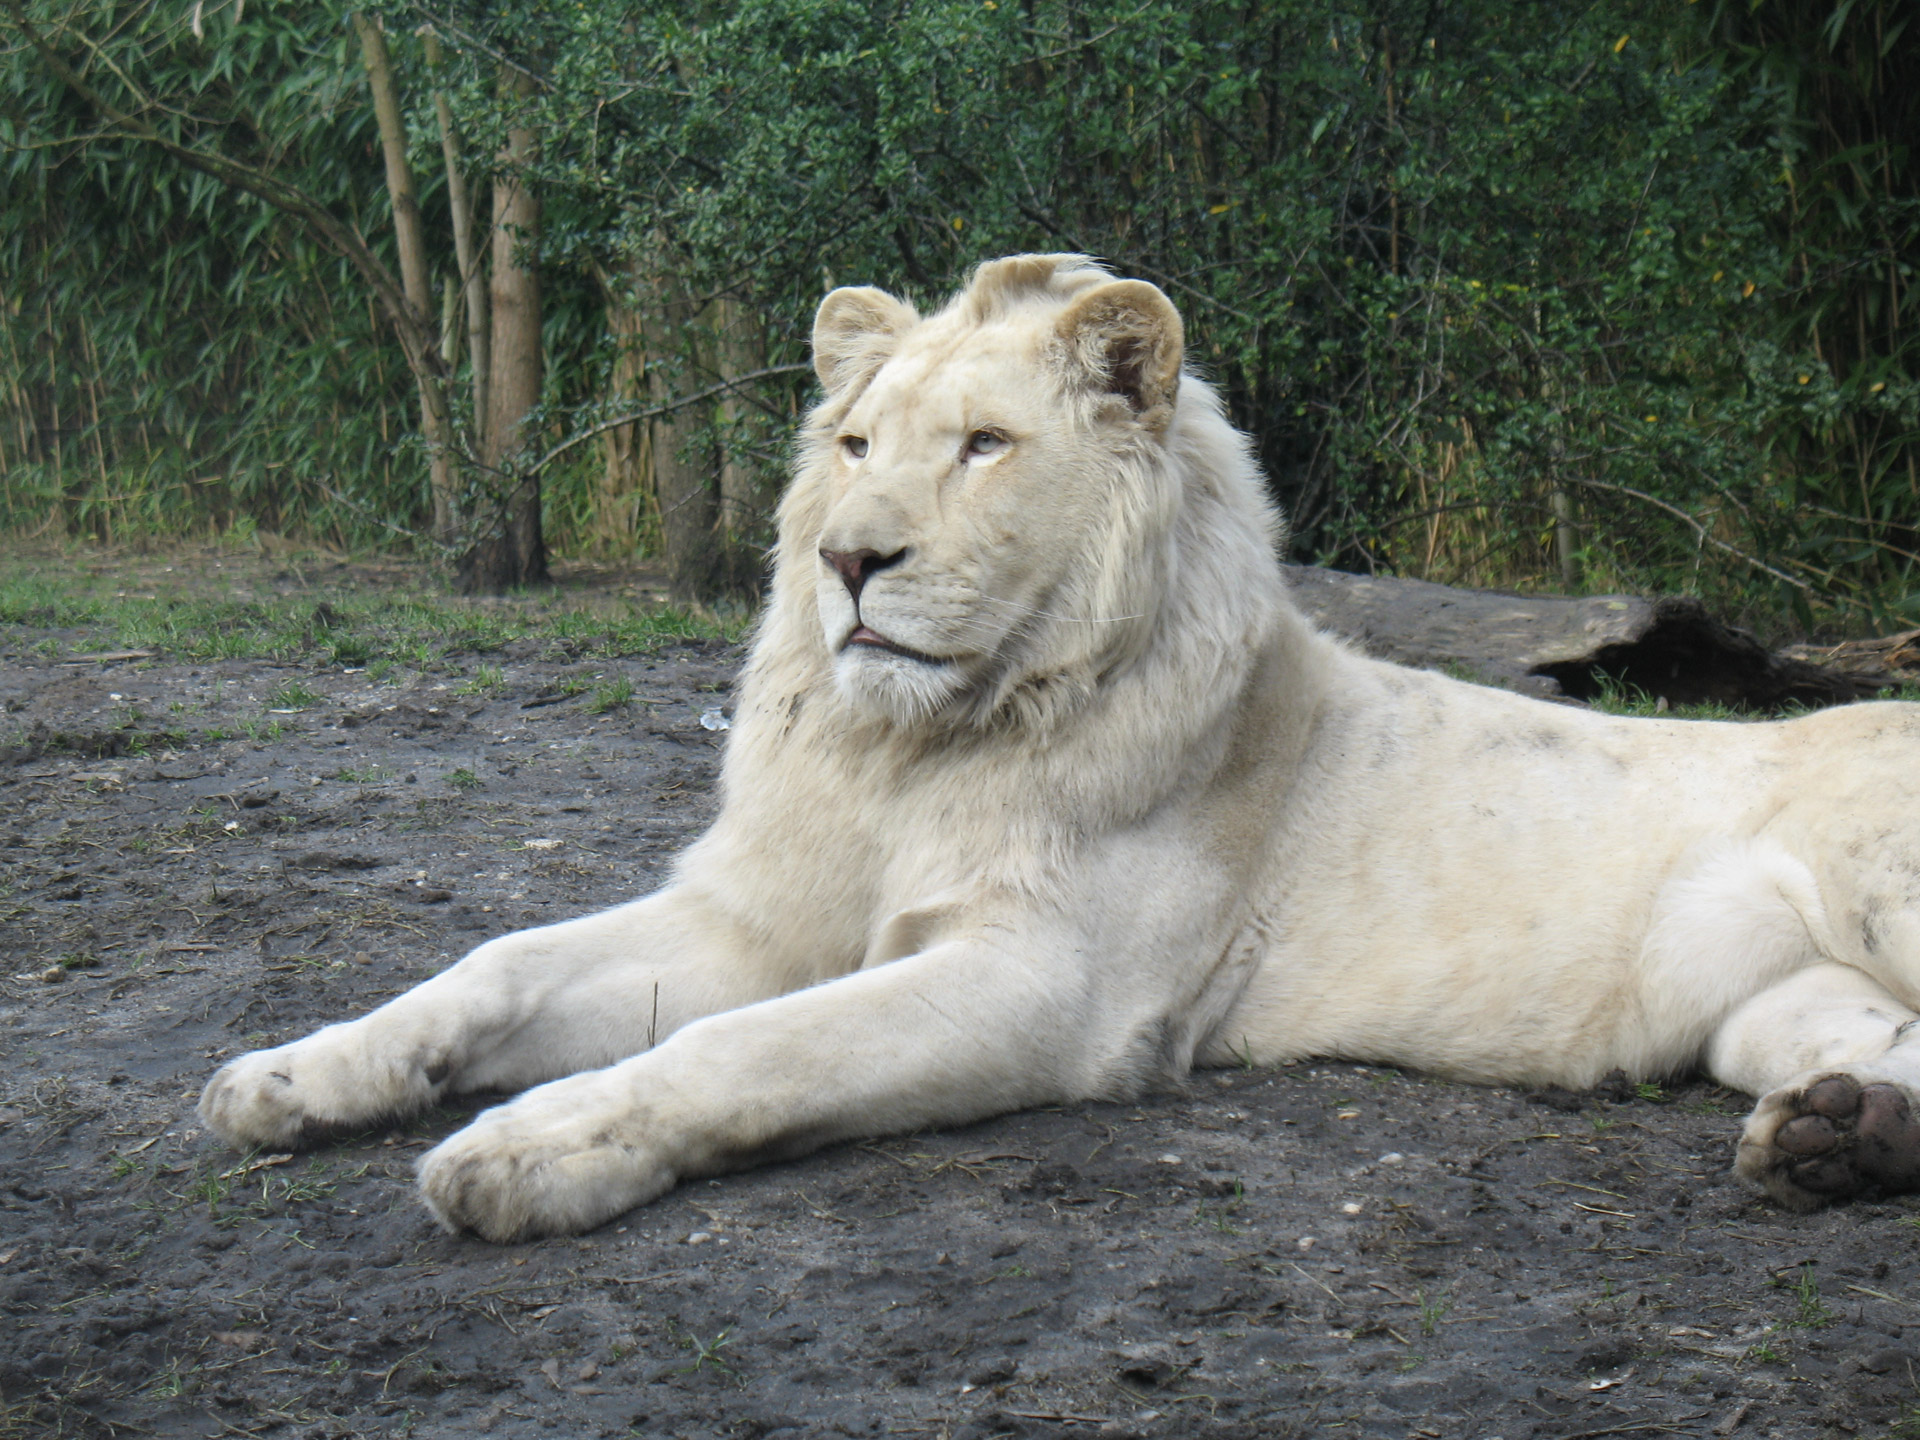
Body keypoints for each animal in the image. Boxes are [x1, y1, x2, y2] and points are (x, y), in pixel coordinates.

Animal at [198, 257, 1920, 1244]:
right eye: (853, 446)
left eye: (984, 448)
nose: (851, 561)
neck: (914, 752)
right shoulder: (759, 917)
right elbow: (491, 965)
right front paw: (288, 1078)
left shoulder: (1051, 984)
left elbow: (745, 1052)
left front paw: (529, 1149)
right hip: (1770, 1013)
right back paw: (1836, 1142)